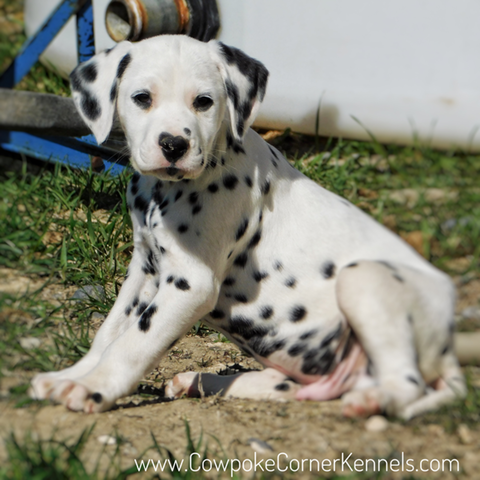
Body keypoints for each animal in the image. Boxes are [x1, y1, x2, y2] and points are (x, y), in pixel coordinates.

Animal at [29, 34, 464, 416]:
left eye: (204, 102)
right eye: (142, 98)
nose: (174, 145)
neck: (164, 192)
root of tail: (448, 349)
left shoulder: (189, 283)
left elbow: (134, 341)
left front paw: (92, 387)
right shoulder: (144, 269)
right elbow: (110, 331)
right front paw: (71, 375)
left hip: (365, 280)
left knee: (405, 384)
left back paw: (372, 402)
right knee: (291, 386)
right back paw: (201, 382)